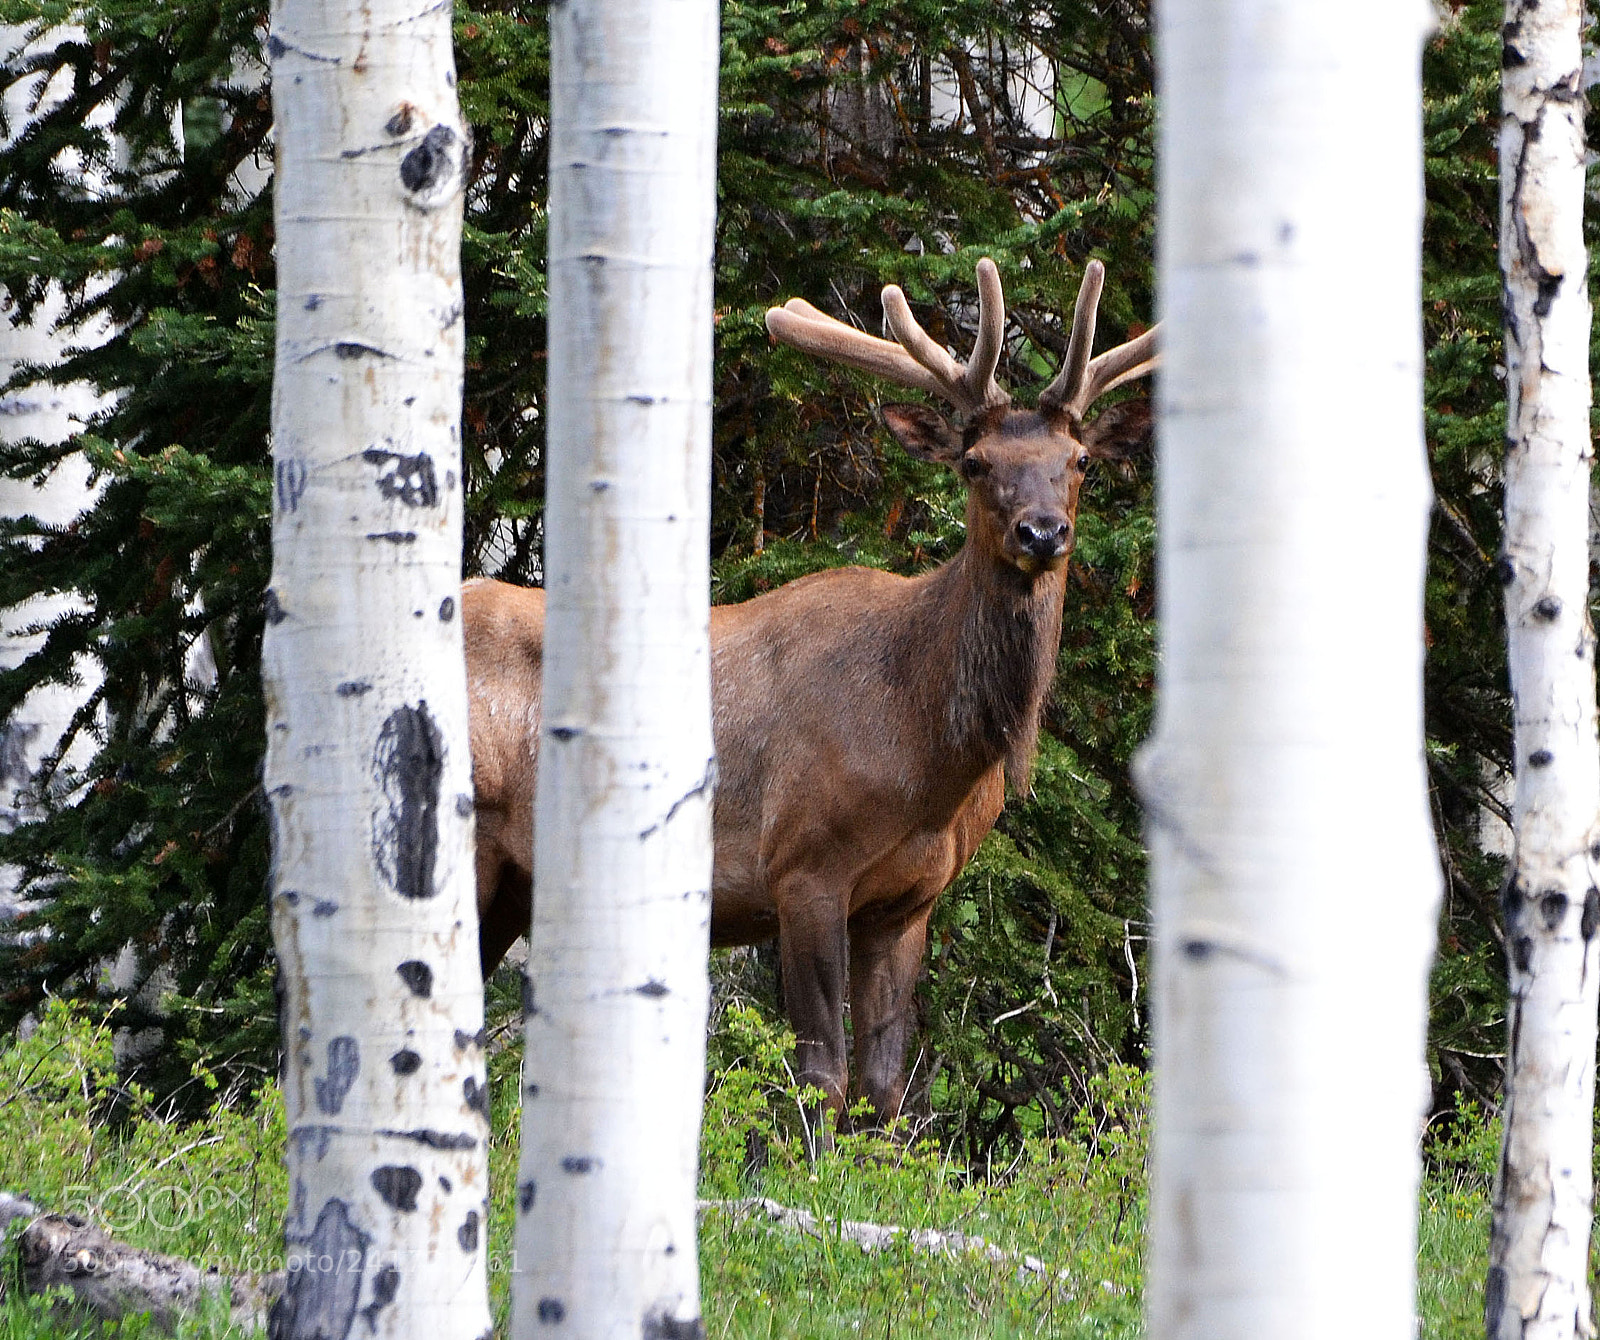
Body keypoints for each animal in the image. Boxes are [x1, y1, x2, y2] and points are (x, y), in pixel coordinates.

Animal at [465, 258, 1158, 1126]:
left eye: (1080, 461)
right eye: (974, 463)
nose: (1042, 532)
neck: (927, 760)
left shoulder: (910, 899)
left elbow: (885, 1087)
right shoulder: (802, 866)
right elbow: (822, 1077)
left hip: (515, 885)